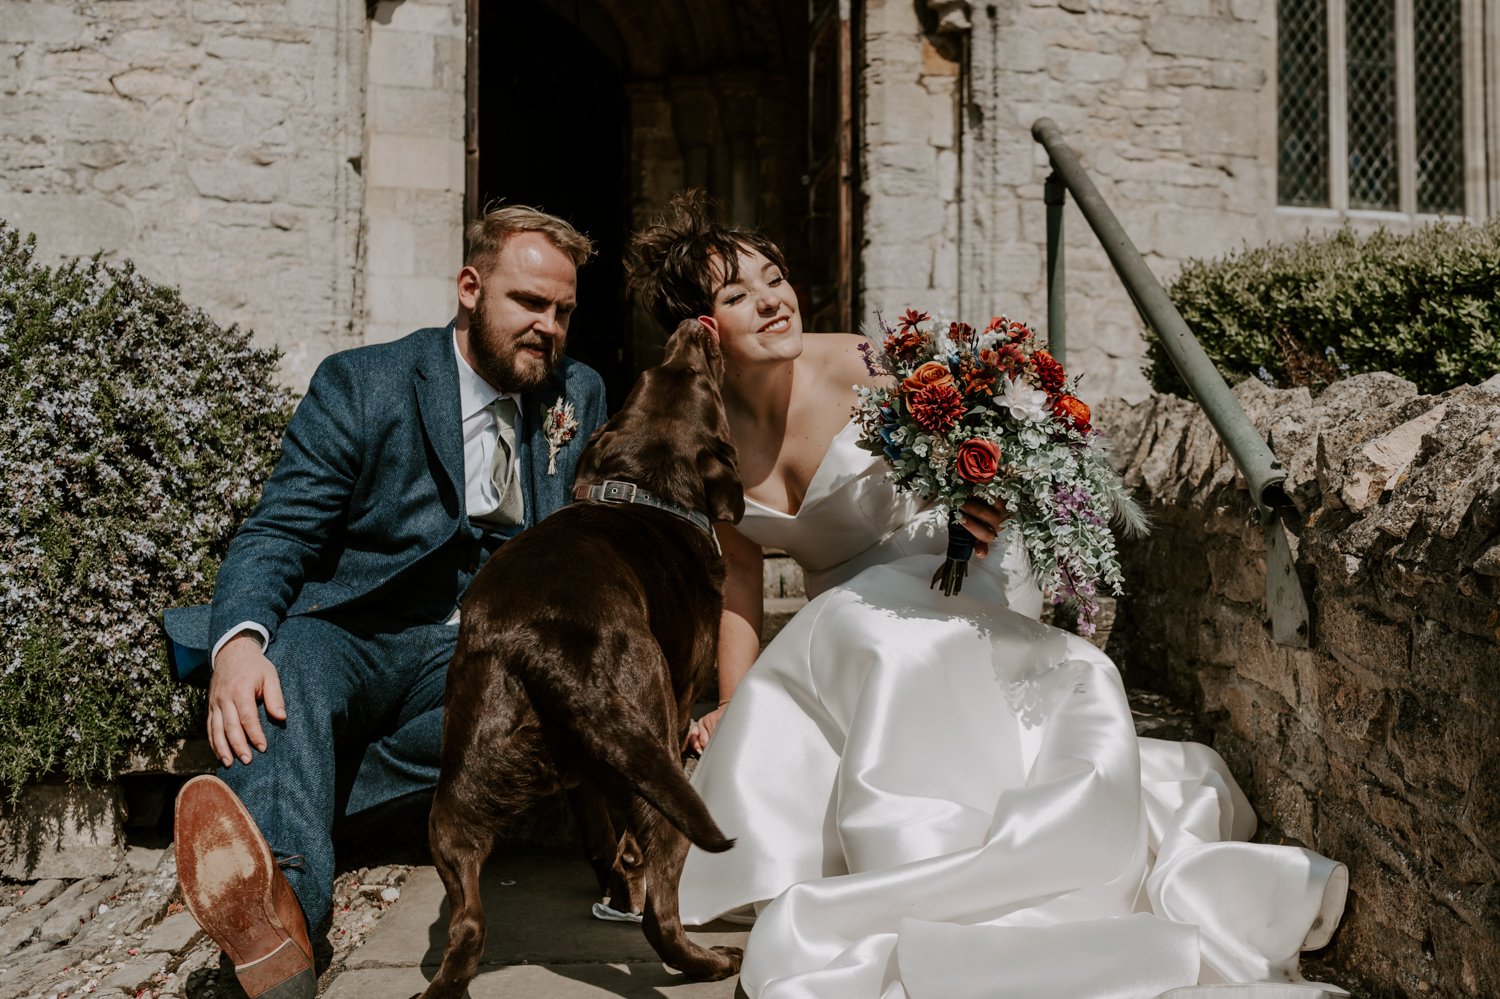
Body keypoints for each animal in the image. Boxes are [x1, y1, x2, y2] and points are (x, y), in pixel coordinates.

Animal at [420, 321, 747, 996]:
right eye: (700, 380)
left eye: (652, 373)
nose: (695, 326)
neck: (644, 489)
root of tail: (545, 646)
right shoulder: (682, 701)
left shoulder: (586, 781)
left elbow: (599, 838)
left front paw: (613, 885)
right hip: (666, 764)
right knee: (661, 913)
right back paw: (710, 962)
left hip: (455, 802)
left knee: (468, 924)